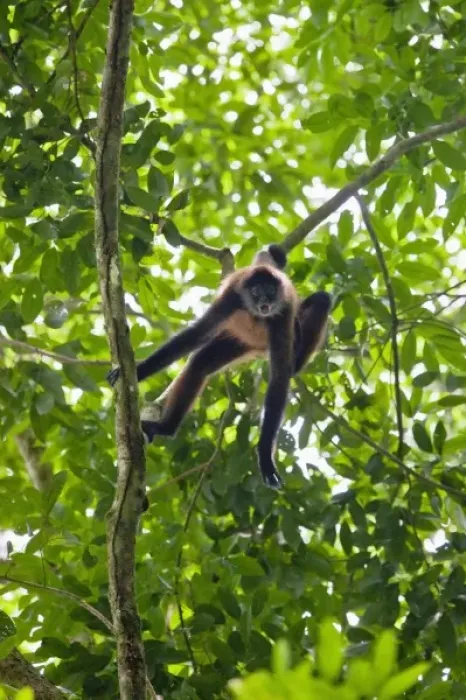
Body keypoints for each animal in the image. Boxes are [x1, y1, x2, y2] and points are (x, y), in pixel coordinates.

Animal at [107, 244, 331, 489]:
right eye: (256, 292)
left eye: (270, 291)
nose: (265, 301)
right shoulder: (231, 298)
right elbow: (197, 334)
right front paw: (139, 372)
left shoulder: (282, 312)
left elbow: (280, 376)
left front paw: (264, 457)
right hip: (237, 340)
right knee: (200, 363)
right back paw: (166, 428)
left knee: (322, 300)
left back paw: (296, 362)